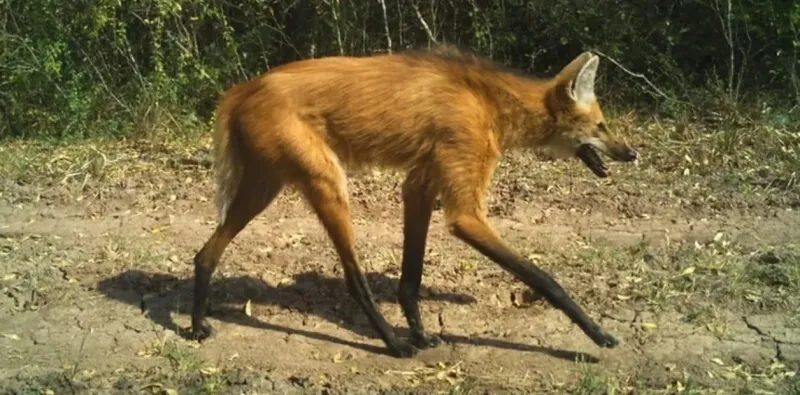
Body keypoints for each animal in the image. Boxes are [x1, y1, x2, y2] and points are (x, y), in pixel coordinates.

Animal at [191, 45, 640, 358]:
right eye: (601, 125)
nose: (632, 153)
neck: (489, 102)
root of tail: (242, 89)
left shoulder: (419, 187)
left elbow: (411, 277)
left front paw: (422, 333)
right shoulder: (464, 211)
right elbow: (545, 279)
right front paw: (598, 334)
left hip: (263, 187)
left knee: (205, 254)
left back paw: (196, 326)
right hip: (327, 182)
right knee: (354, 279)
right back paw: (392, 344)